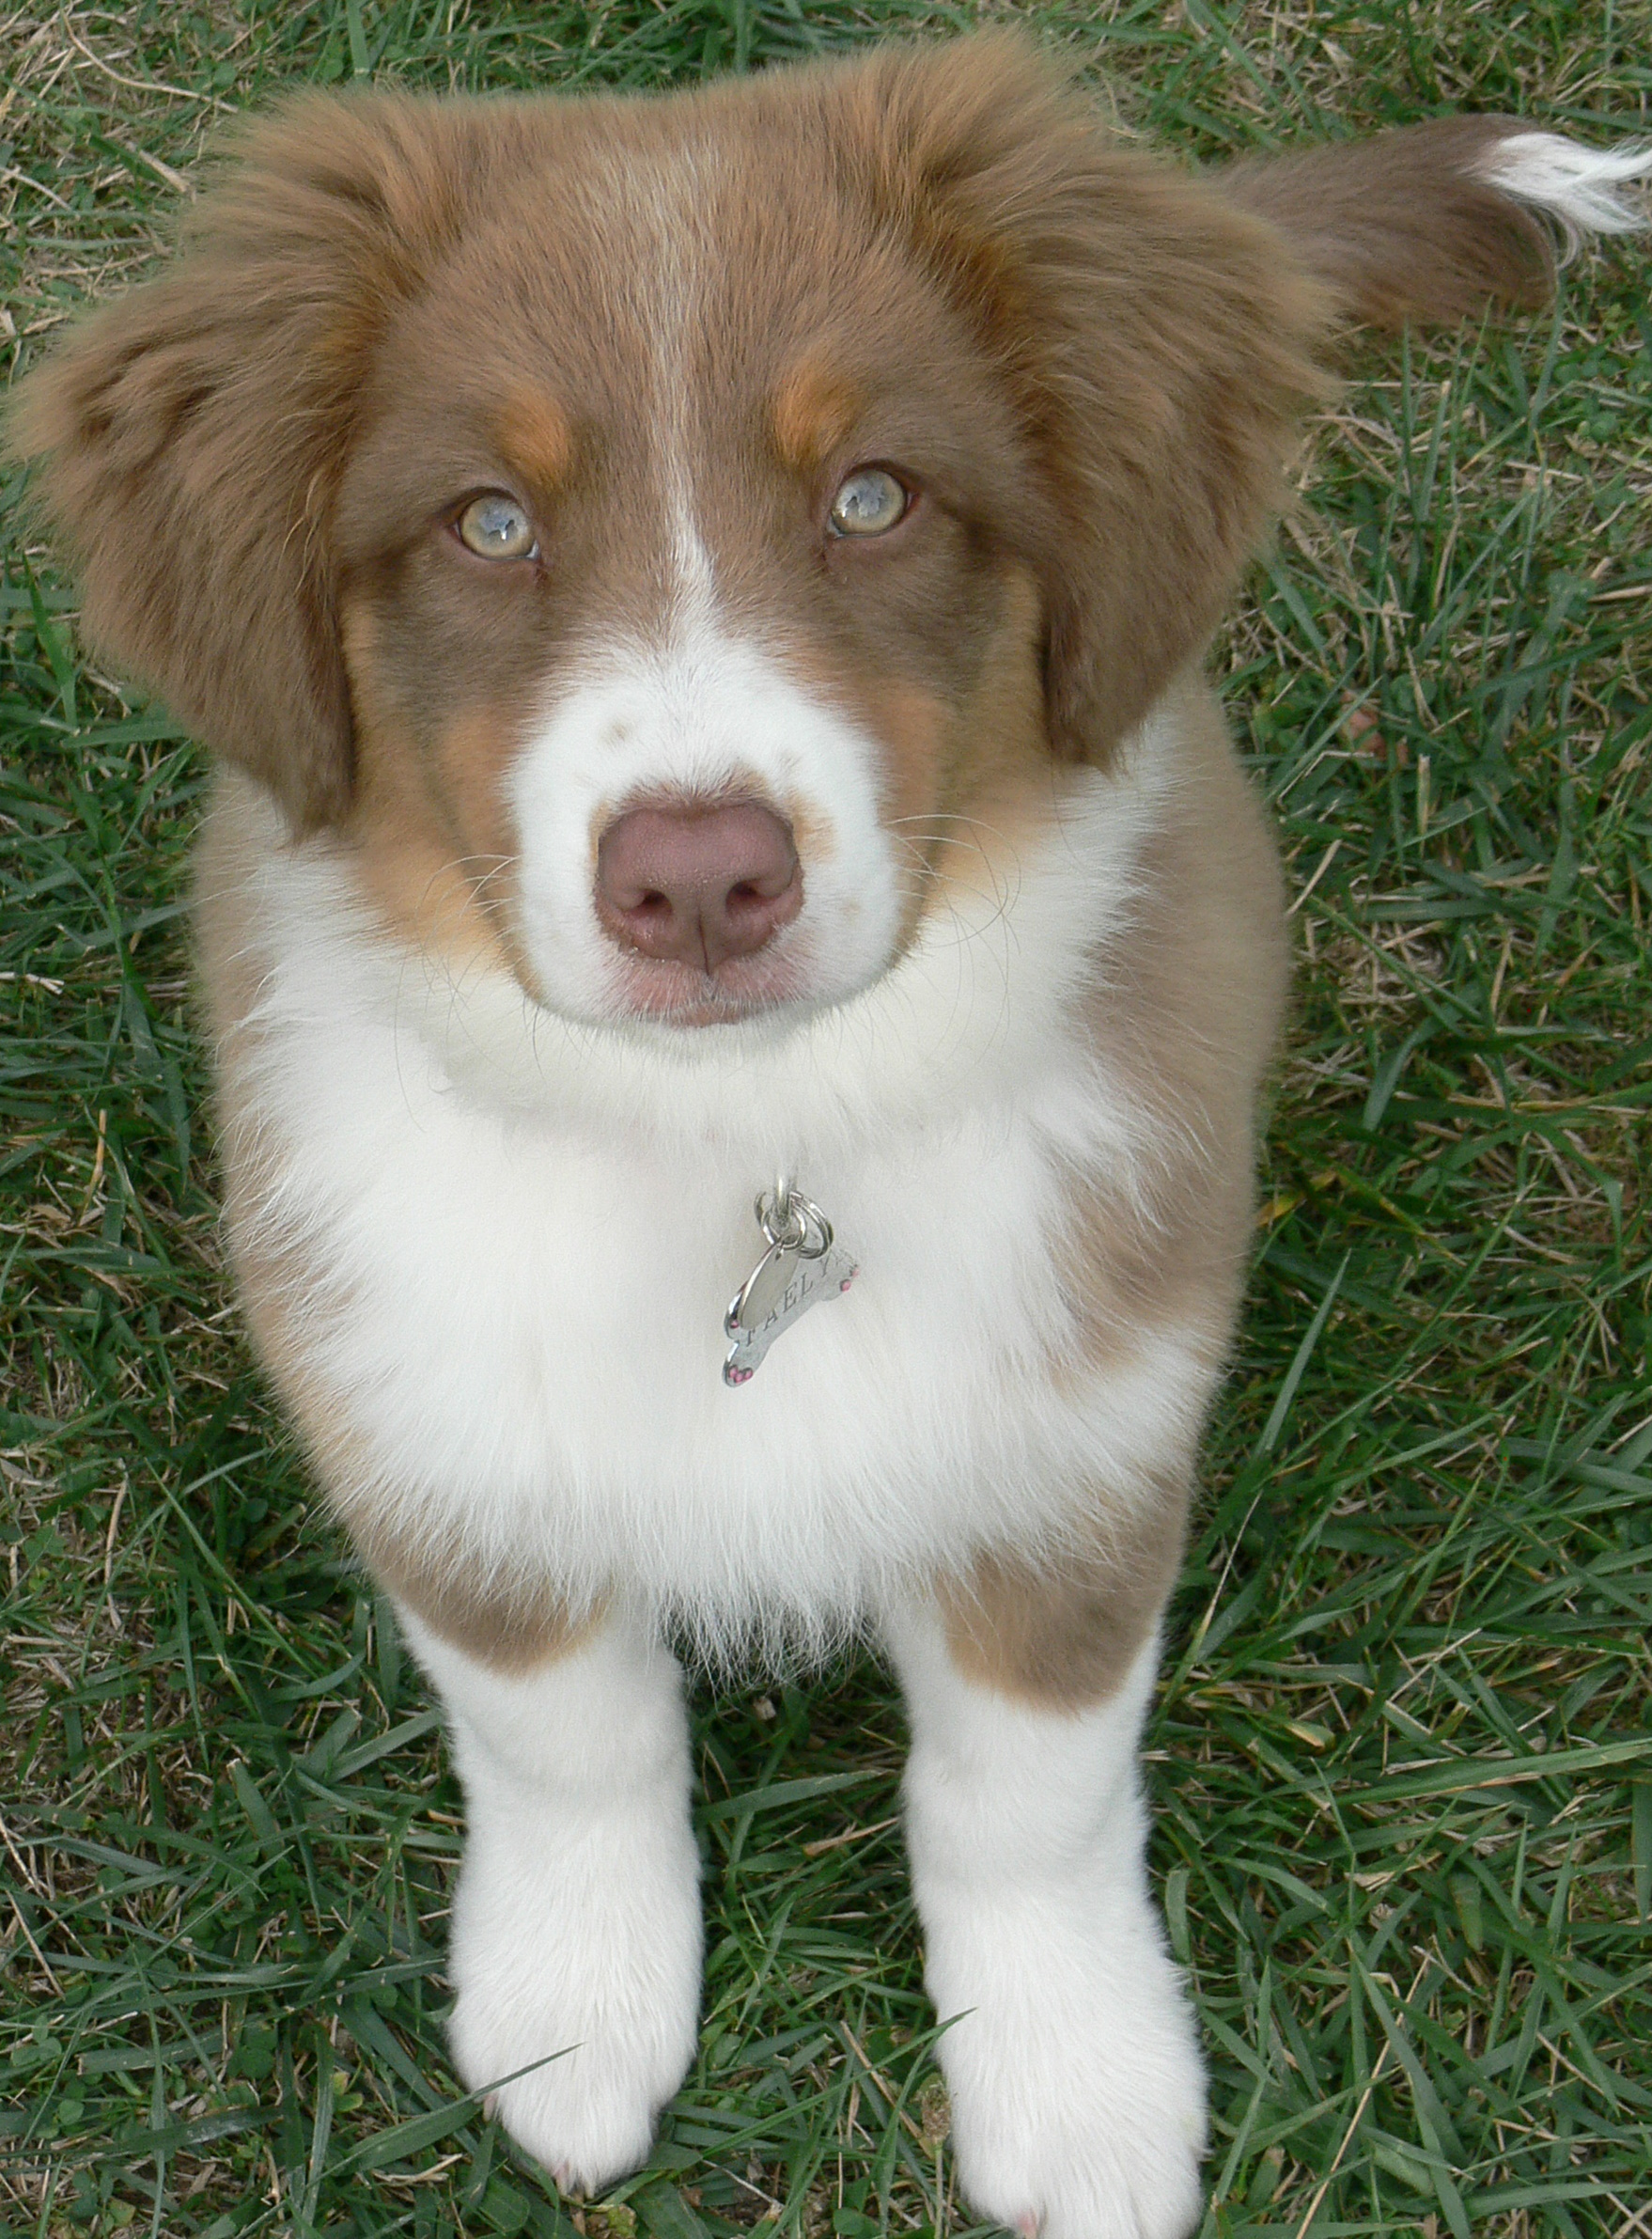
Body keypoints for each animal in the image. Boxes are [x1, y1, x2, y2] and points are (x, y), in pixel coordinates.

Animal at [14, 34, 1648, 2236]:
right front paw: (572, 2008)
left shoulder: (1078, 1435)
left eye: (873, 495)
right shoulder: (430, 1414)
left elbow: (1028, 1794)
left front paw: (1077, 2088)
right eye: (487, 522)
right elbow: (560, 1734)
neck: (745, 1130)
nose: (701, 880)